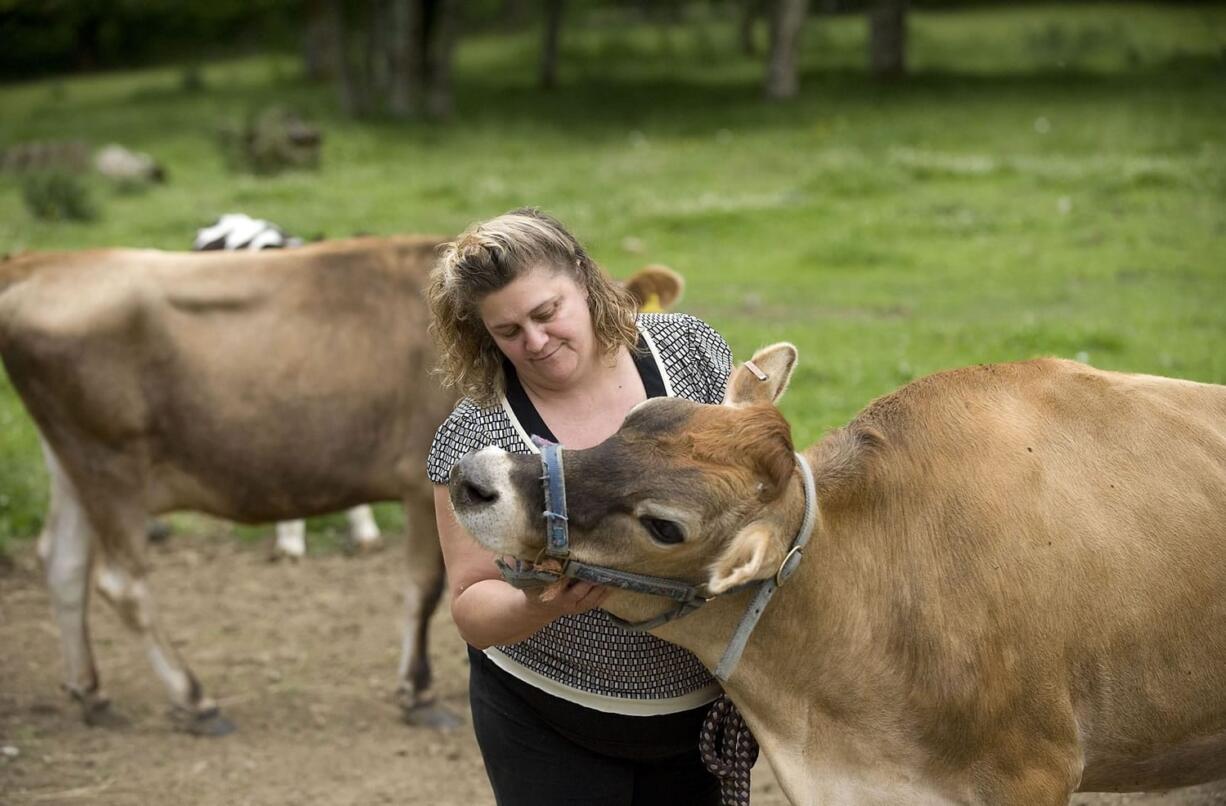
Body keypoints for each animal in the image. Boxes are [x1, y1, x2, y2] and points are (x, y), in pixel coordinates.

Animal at [0, 235, 456, 731]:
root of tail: (42, 261)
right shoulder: (423, 482)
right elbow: (426, 587)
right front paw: (419, 690)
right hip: (111, 462)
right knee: (122, 583)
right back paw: (193, 698)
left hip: (73, 464)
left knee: (62, 564)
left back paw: (91, 693)